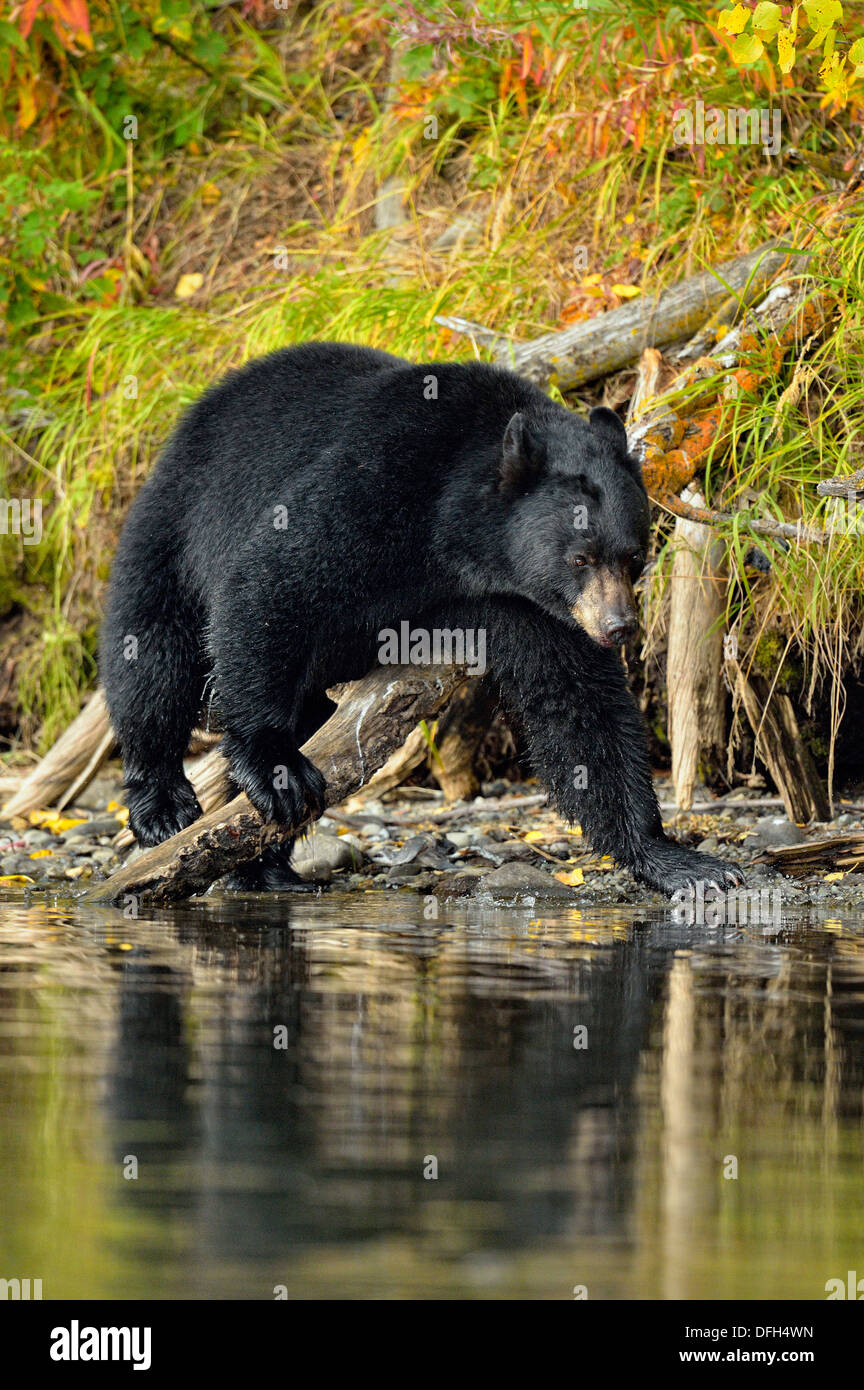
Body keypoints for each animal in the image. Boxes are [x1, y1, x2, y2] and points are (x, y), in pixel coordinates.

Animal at [101, 341, 744, 895]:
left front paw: (675, 859)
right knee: (151, 657)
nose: (618, 627)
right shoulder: (380, 478)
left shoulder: (532, 605)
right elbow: (273, 580)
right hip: (174, 524)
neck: (455, 531)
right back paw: (162, 804)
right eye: (580, 556)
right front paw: (274, 764)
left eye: (633, 555)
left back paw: (264, 867)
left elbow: (579, 703)